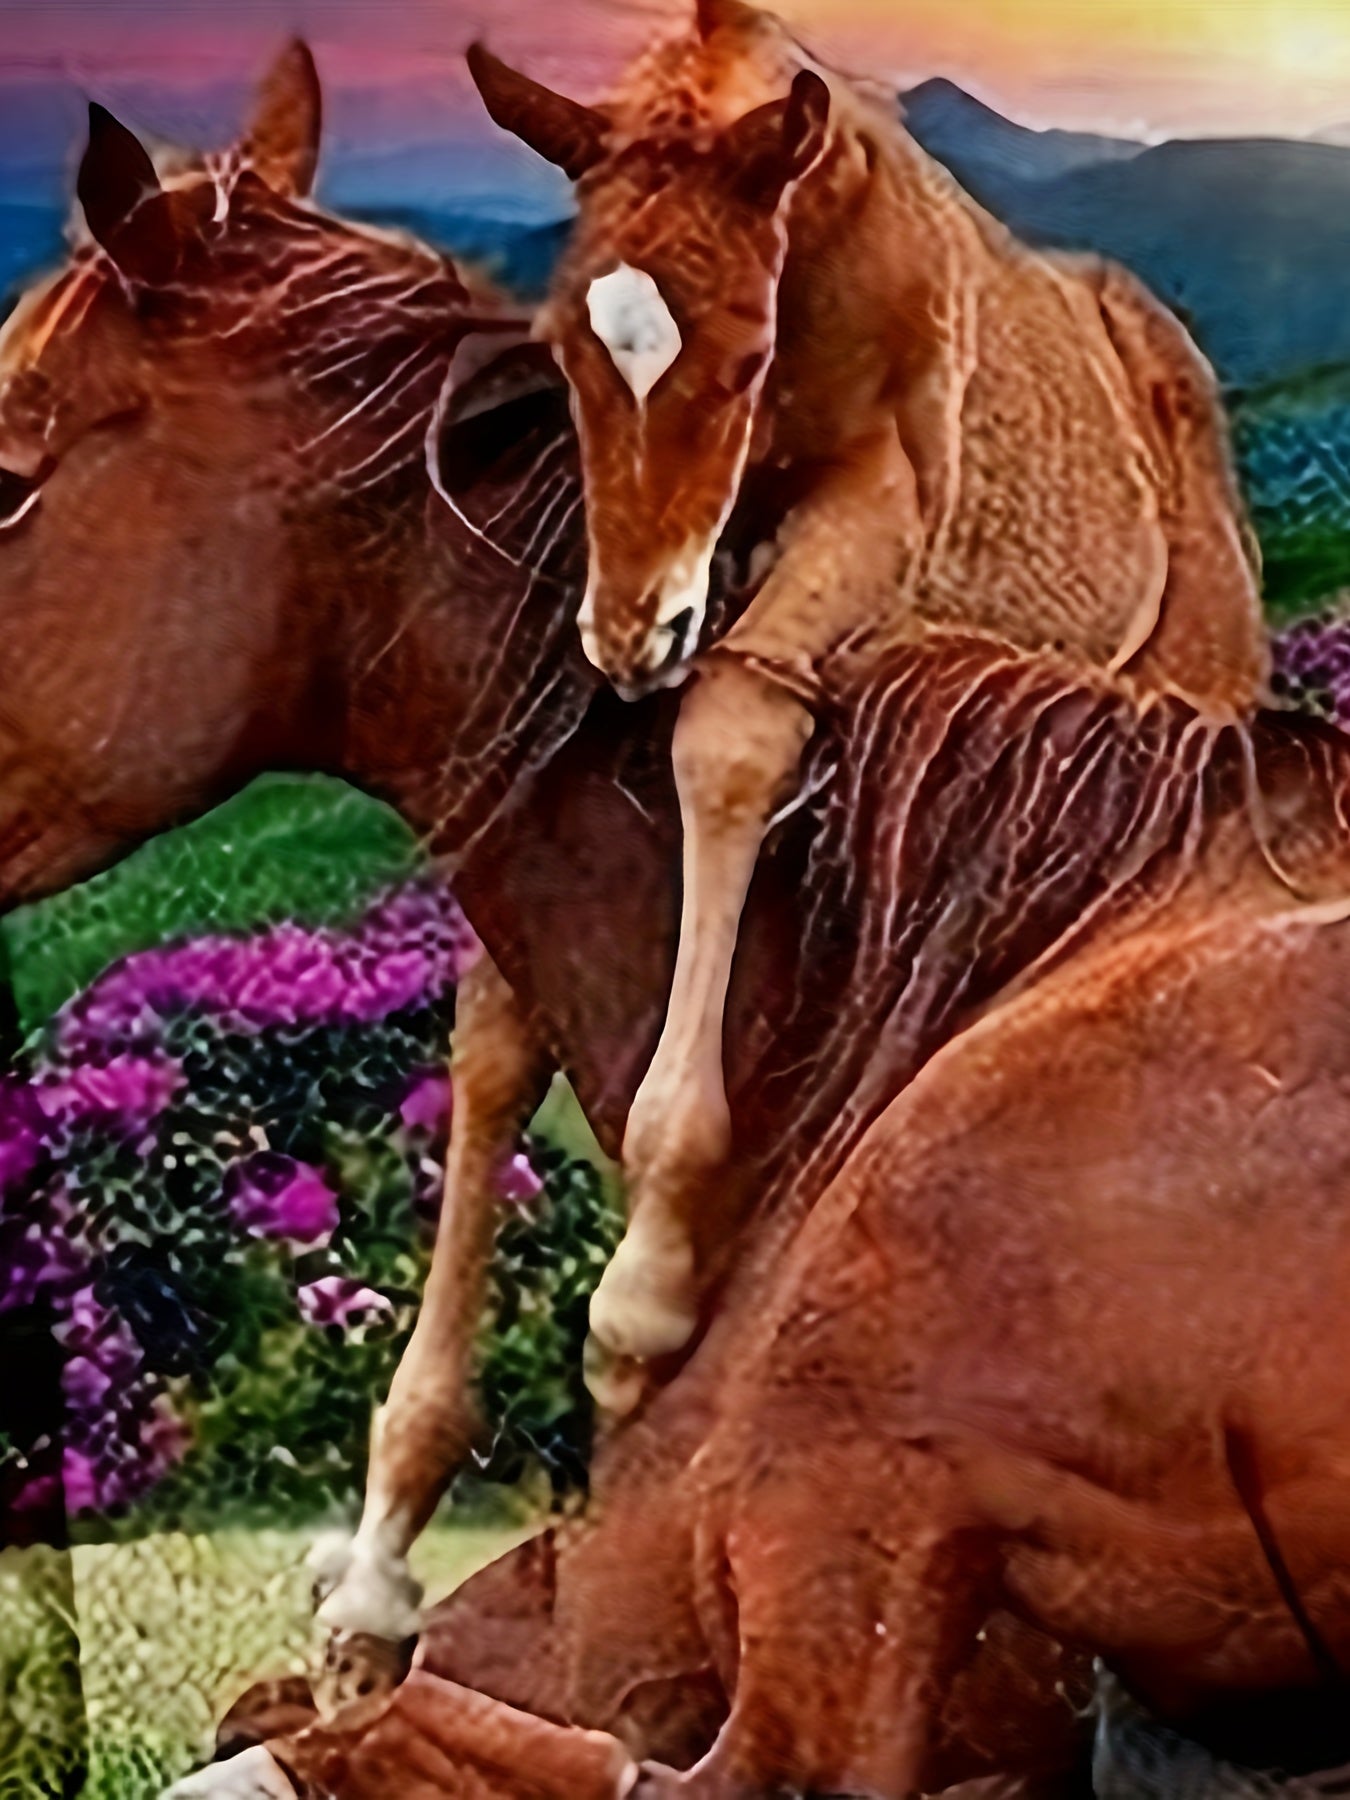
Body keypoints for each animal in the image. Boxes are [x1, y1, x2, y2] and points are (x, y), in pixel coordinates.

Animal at [465, 0, 1271, 1374]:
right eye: (562, 351)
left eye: (744, 360)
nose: (633, 634)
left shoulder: (879, 504)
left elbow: (729, 737)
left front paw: (649, 1278)